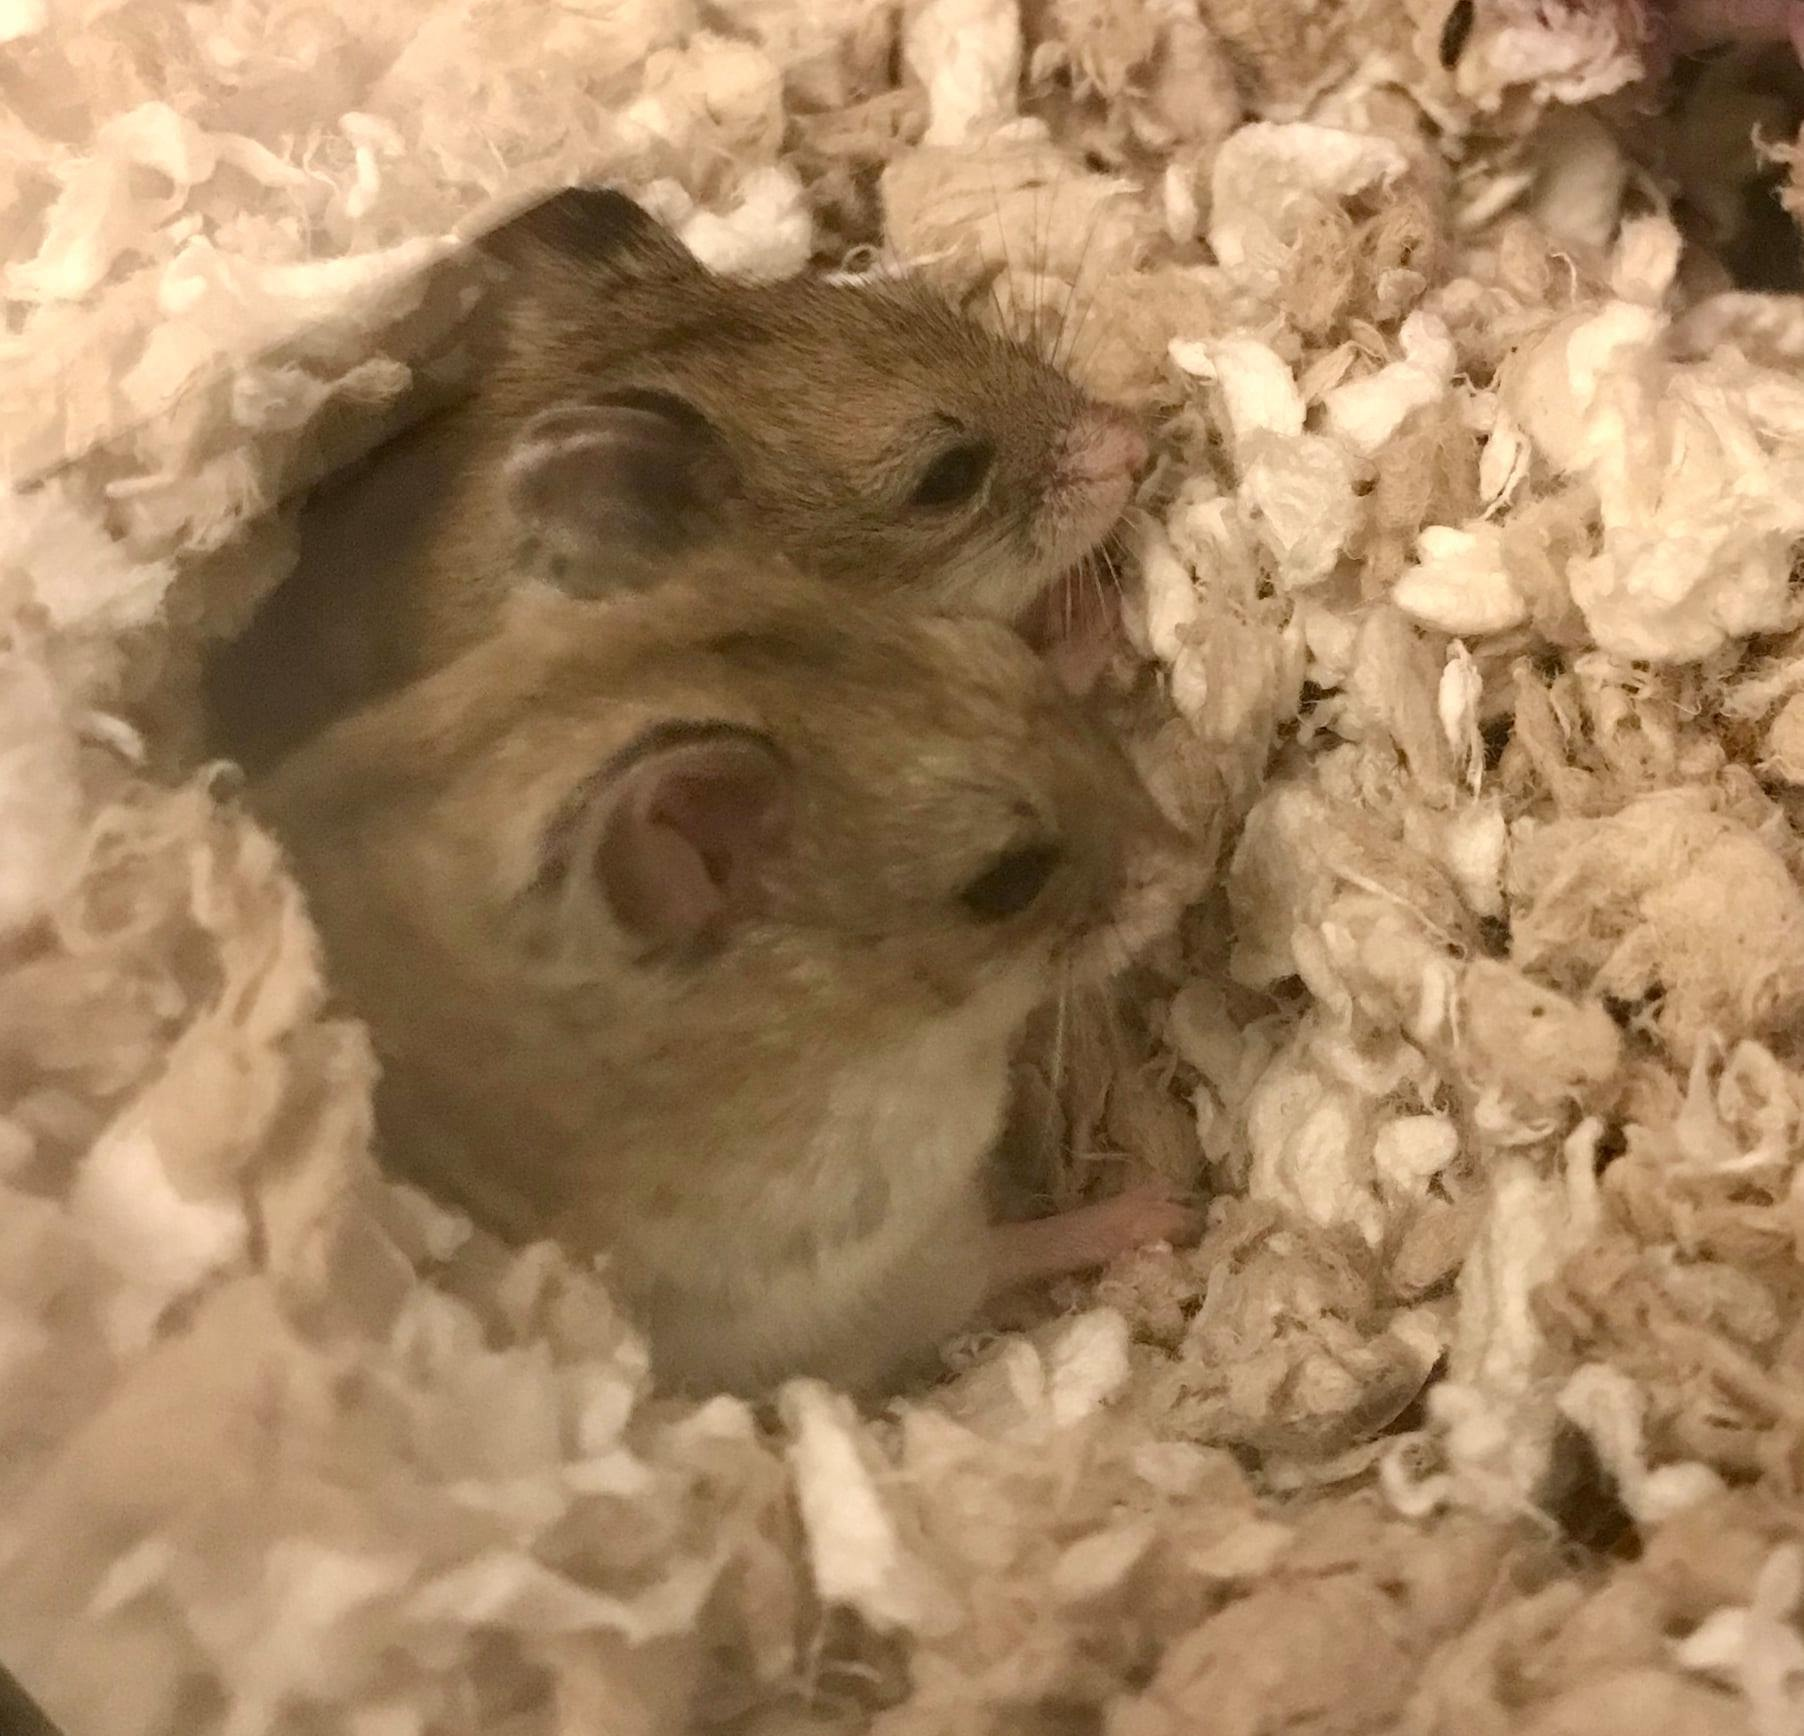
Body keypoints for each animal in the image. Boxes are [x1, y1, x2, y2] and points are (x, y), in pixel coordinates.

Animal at [254, 566, 1205, 1393]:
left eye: (1005, 653)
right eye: (1009, 881)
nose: (1192, 864)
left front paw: (1090, 626)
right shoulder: (873, 1238)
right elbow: (1009, 1249)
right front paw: (1162, 1211)